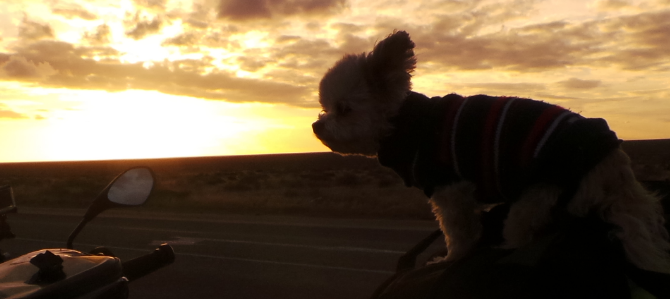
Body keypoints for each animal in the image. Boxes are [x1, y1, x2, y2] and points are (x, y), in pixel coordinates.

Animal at [314, 30, 670, 274]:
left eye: (343, 109)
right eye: (326, 108)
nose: (317, 126)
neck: (404, 122)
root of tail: (614, 166)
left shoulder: (450, 190)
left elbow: (458, 233)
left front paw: (450, 259)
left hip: (538, 195)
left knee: (521, 233)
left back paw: (503, 247)